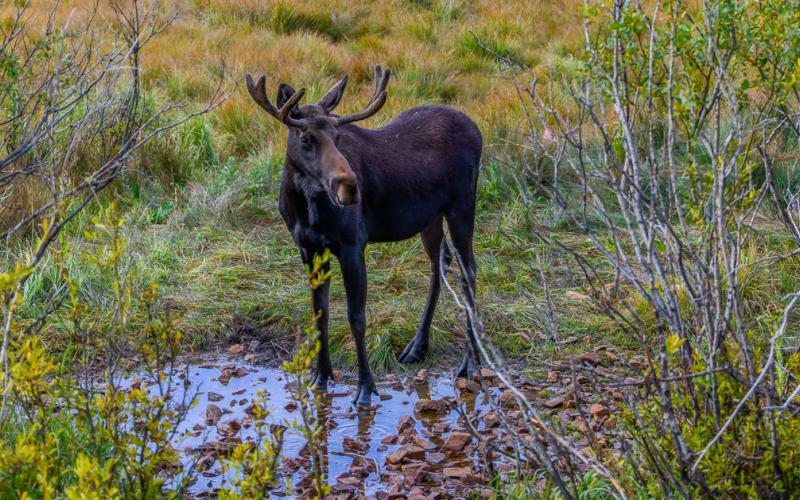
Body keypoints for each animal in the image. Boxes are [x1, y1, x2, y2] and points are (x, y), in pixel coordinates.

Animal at [245, 65, 482, 407]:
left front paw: (365, 387)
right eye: (305, 138)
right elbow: (319, 312)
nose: (349, 186)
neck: (305, 207)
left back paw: (470, 363)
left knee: (468, 272)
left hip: (462, 203)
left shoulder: (352, 244)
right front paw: (320, 377)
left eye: (338, 137)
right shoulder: (308, 248)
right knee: (441, 261)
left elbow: (356, 317)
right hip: (430, 216)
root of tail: (477, 129)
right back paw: (417, 346)